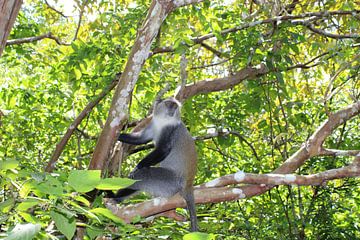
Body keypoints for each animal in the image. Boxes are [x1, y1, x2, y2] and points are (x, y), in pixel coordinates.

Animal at [111, 96, 198, 232]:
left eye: (175, 106)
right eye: (169, 104)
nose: (172, 110)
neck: (163, 121)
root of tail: (188, 185)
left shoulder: (170, 129)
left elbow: (163, 149)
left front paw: (137, 167)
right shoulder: (153, 124)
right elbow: (141, 139)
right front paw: (118, 135)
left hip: (171, 182)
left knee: (143, 176)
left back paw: (115, 197)